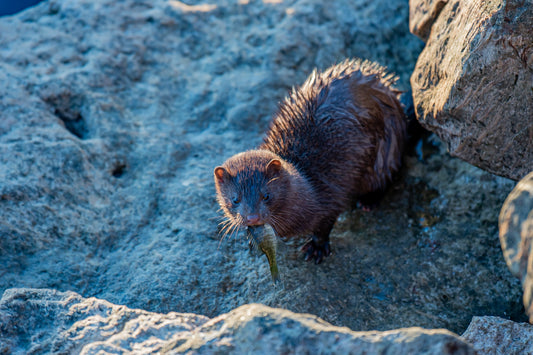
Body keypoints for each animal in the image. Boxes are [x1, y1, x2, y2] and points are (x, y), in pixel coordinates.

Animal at [214, 58, 406, 264]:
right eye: (235, 199)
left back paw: (368, 202)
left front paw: (317, 248)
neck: (308, 185)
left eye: (266, 195)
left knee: (386, 177)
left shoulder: (330, 192)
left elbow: (325, 223)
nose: (252, 217)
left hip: (387, 148)